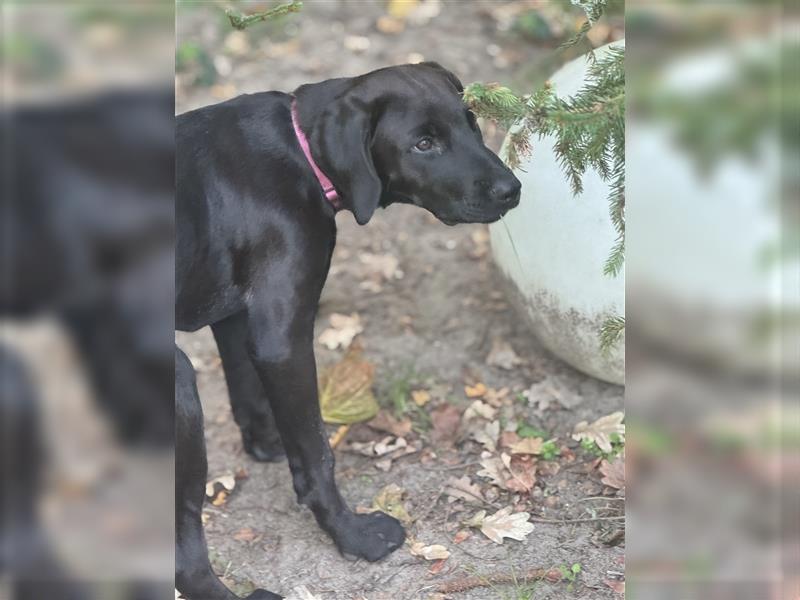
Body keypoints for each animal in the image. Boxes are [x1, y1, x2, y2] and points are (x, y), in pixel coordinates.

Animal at [176, 63, 520, 596]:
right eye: (424, 143)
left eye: (471, 123)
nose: (512, 189)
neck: (299, 150)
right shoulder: (283, 339)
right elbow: (318, 453)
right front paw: (351, 533)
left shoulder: (236, 316)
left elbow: (249, 393)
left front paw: (269, 442)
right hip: (180, 392)